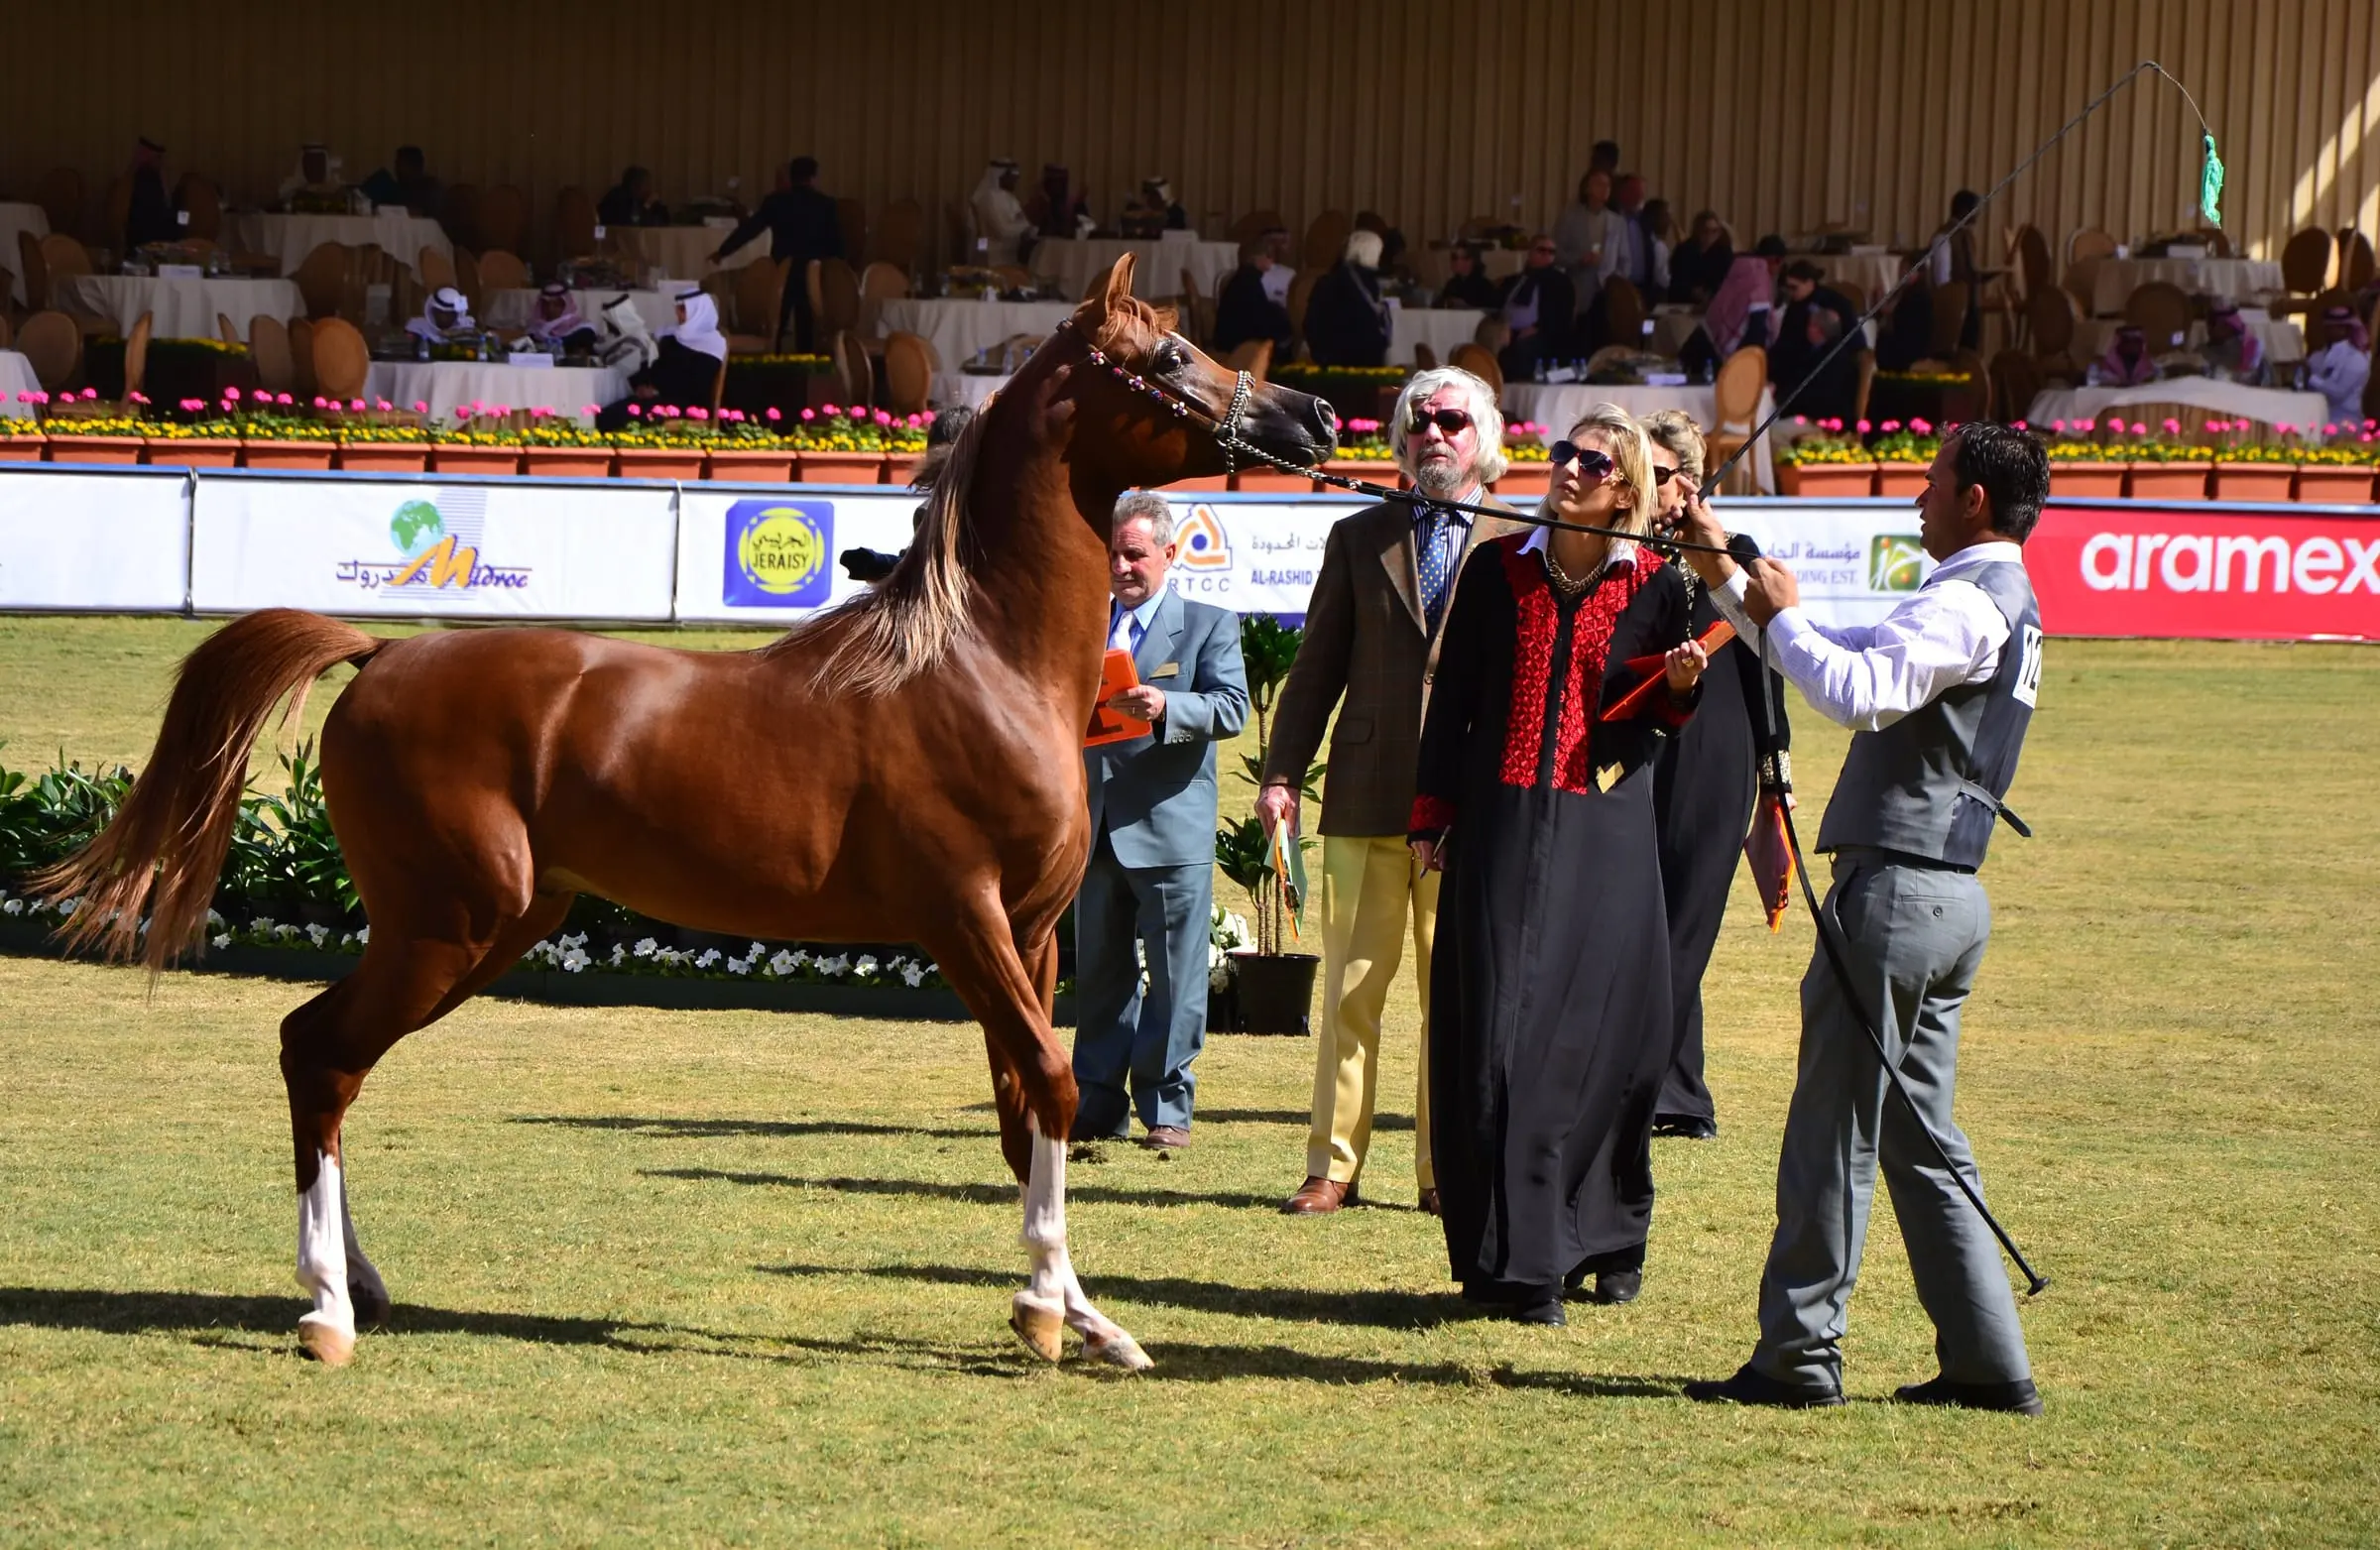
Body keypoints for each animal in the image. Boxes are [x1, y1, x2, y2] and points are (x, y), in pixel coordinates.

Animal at [37, 253, 1338, 1371]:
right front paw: (1052, 1310)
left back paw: (355, 1288)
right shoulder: (964, 919)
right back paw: (324, 1313)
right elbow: (1058, 1088)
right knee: (318, 1052)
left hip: (488, 928)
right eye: (1168, 354)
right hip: (449, 925)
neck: (978, 661)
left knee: (329, 1057)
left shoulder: (1030, 932)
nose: (1316, 419)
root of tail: (384, 651)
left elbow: (1026, 1108)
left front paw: (1074, 1316)